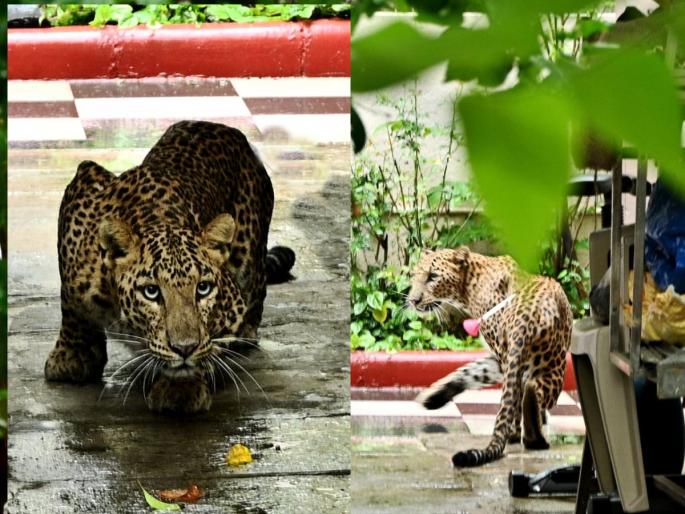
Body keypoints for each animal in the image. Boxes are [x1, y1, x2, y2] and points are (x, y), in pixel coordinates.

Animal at [44, 120, 295, 414]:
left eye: (203, 289)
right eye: (151, 292)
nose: (184, 348)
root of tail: (225, 128)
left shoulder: (230, 305)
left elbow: (209, 343)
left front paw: (180, 389)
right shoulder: (83, 185)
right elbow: (71, 303)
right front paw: (72, 357)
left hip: (249, 255)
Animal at [408, 246, 572, 467]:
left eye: (432, 277)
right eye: (414, 276)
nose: (412, 300)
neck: (468, 288)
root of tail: (526, 316)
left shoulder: (502, 358)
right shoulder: (501, 359)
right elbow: (470, 371)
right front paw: (434, 397)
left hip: (553, 366)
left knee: (526, 394)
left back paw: (525, 435)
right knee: (527, 392)